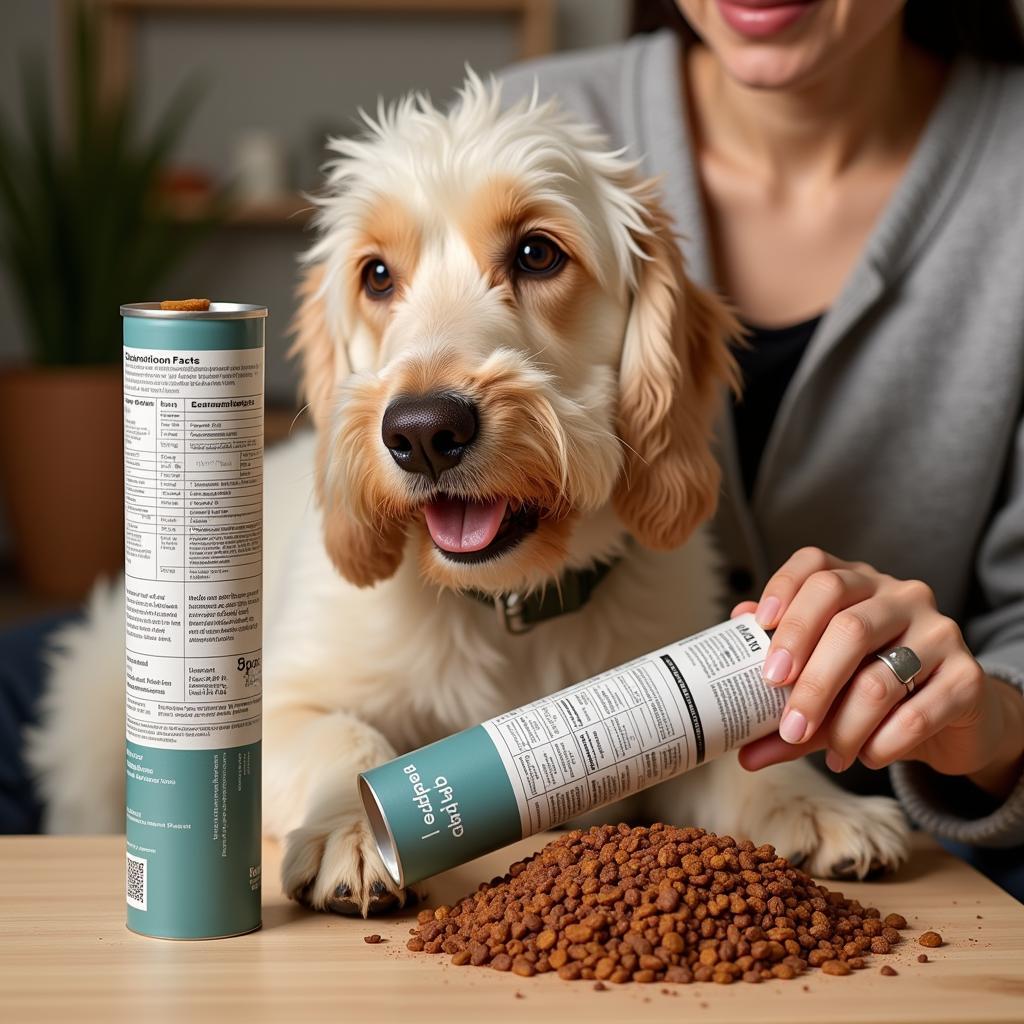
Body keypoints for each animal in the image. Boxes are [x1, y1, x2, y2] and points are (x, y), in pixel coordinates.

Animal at [25, 75, 905, 917]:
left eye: (538, 253)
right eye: (377, 274)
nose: (421, 432)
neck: (507, 605)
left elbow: (731, 751)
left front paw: (816, 801)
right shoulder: (282, 702)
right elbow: (344, 738)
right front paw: (354, 830)